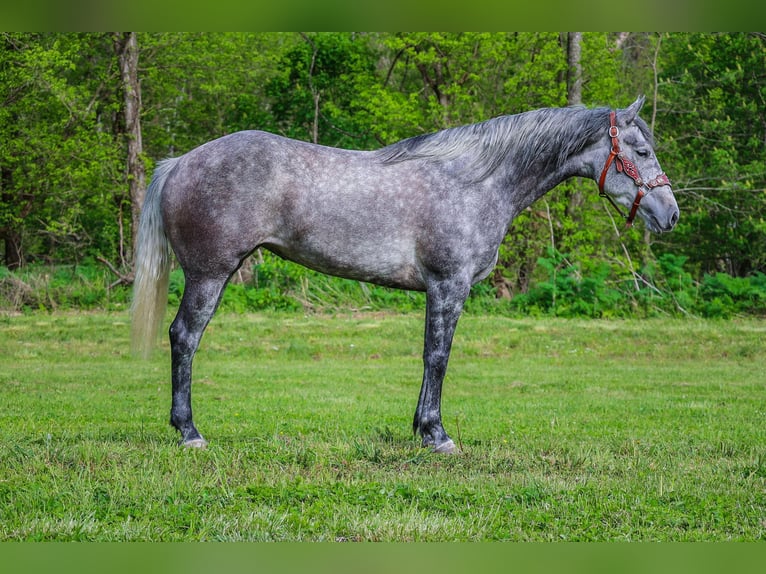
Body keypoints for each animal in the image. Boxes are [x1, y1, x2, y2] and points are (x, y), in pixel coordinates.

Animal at [132, 95, 680, 454]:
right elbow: (438, 356)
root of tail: (181, 161)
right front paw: (437, 435)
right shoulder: (448, 285)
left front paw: (420, 429)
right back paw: (189, 432)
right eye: (642, 151)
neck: (476, 181)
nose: (670, 214)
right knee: (184, 337)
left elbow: (430, 357)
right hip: (210, 274)